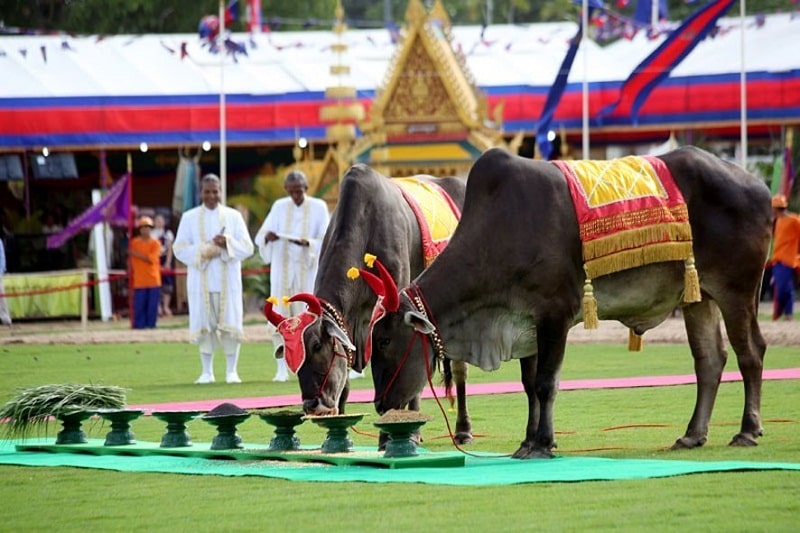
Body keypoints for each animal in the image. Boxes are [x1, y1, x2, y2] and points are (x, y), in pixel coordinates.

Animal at [266, 163, 472, 444]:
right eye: (289, 357)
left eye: (317, 346)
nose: (312, 405)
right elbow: (346, 382)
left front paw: (398, 434)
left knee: (460, 370)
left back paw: (463, 430)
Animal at [366, 144, 772, 458]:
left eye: (384, 341)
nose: (380, 404)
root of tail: (759, 185)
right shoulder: (524, 322)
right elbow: (530, 386)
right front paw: (528, 440)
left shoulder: (554, 314)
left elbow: (546, 383)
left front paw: (543, 443)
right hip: (698, 298)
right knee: (709, 360)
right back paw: (692, 434)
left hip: (738, 290)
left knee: (750, 352)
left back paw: (747, 430)